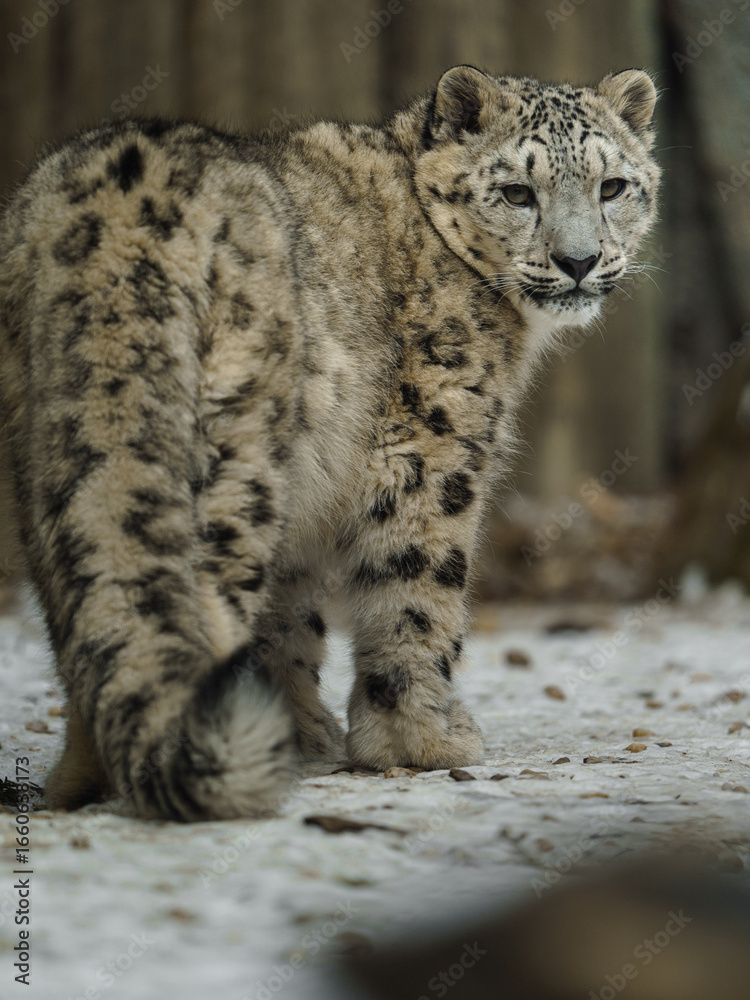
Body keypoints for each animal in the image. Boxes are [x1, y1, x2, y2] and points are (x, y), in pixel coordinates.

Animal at [0, 65, 660, 821]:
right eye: (518, 192)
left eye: (613, 186)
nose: (579, 261)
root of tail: (118, 207)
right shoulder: (435, 445)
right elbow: (417, 585)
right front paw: (421, 741)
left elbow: (291, 616)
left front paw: (303, 729)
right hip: (239, 447)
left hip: (39, 446)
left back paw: (82, 779)